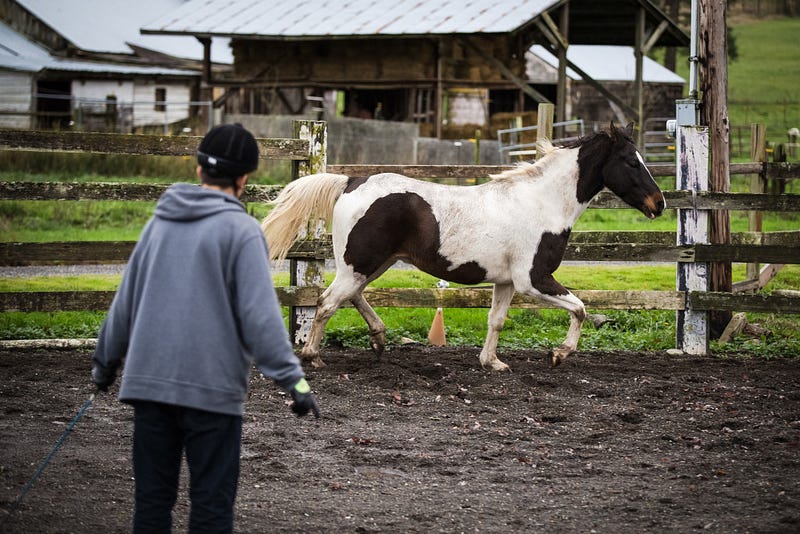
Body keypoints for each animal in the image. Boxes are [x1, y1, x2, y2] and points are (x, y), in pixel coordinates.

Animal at [260, 122, 664, 372]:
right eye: (630, 161)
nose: (658, 204)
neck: (543, 203)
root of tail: (350, 182)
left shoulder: (507, 282)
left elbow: (496, 320)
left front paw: (493, 363)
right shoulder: (533, 280)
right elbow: (579, 308)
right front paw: (559, 355)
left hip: (373, 263)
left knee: (351, 296)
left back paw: (378, 339)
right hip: (359, 263)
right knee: (328, 302)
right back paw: (313, 356)